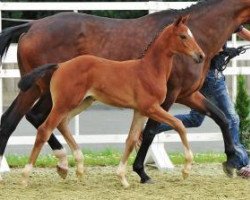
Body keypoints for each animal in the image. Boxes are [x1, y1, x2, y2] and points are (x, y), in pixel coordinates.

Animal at [18, 16, 204, 187]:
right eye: (183, 36)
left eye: (191, 34)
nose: (200, 56)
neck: (149, 70)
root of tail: (60, 65)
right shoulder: (151, 108)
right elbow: (179, 125)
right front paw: (186, 170)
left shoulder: (140, 111)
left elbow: (131, 140)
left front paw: (122, 178)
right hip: (64, 103)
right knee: (45, 129)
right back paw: (26, 176)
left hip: (82, 102)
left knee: (62, 124)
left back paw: (78, 168)